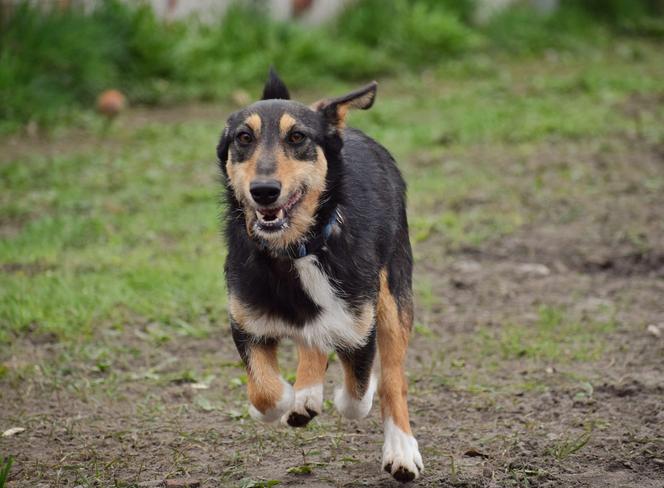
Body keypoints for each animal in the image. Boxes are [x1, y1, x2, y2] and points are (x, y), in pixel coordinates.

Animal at [219, 69, 426, 484]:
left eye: (297, 137)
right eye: (243, 138)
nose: (263, 191)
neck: (296, 251)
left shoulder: (358, 326)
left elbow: (359, 393)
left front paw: (350, 394)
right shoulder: (246, 322)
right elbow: (265, 391)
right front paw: (289, 398)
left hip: (394, 293)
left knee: (394, 377)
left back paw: (401, 449)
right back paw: (306, 395)